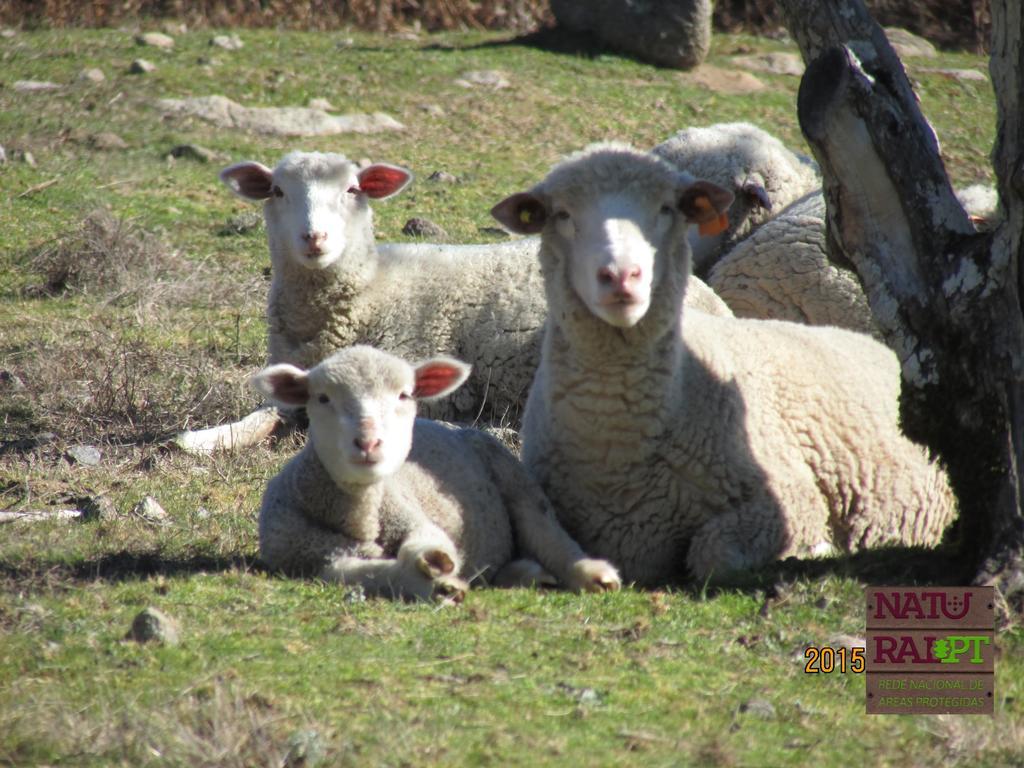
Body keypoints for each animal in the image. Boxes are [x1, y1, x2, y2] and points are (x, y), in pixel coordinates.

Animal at [172, 148, 724, 456]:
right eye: (277, 192)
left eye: (353, 189)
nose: (315, 238)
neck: (369, 289)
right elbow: (260, 418)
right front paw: (200, 440)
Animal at [250, 344, 618, 602]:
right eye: (323, 398)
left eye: (404, 395)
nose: (368, 442)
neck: (362, 515)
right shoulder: (312, 559)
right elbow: (363, 574)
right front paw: (438, 584)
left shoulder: (416, 519)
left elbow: (428, 544)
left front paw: (436, 562)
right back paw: (526, 574)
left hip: (517, 483)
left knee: (550, 537)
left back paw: (593, 575)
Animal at [491, 144, 954, 585]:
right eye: (562, 215)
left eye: (667, 209)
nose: (622, 276)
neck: (617, 447)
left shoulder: (783, 498)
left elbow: (712, 554)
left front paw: (818, 549)